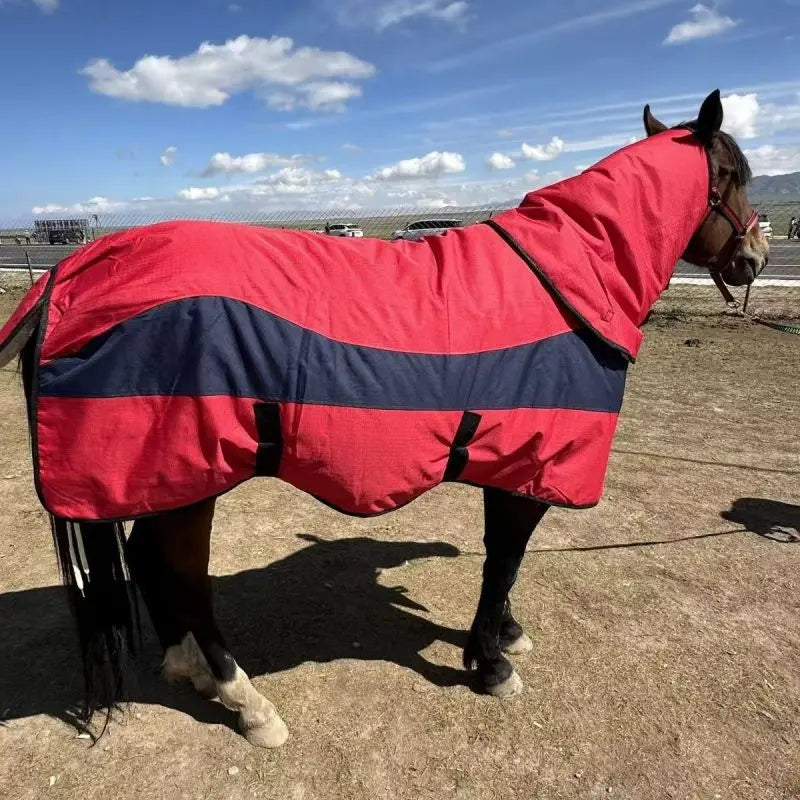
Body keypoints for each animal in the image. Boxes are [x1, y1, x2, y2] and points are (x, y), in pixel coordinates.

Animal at [0, 90, 768, 748]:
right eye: (732, 176)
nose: (756, 258)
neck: (568, 279)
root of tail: (70, 271)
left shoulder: (515, 463)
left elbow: (505, 563)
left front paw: (505, 636)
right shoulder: (528, 465)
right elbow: (504, 560)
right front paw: (491, 663)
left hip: (172, 478)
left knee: (151, 563)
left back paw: (188, 669)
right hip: (193, 474)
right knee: (179, 572)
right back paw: (246, 700)